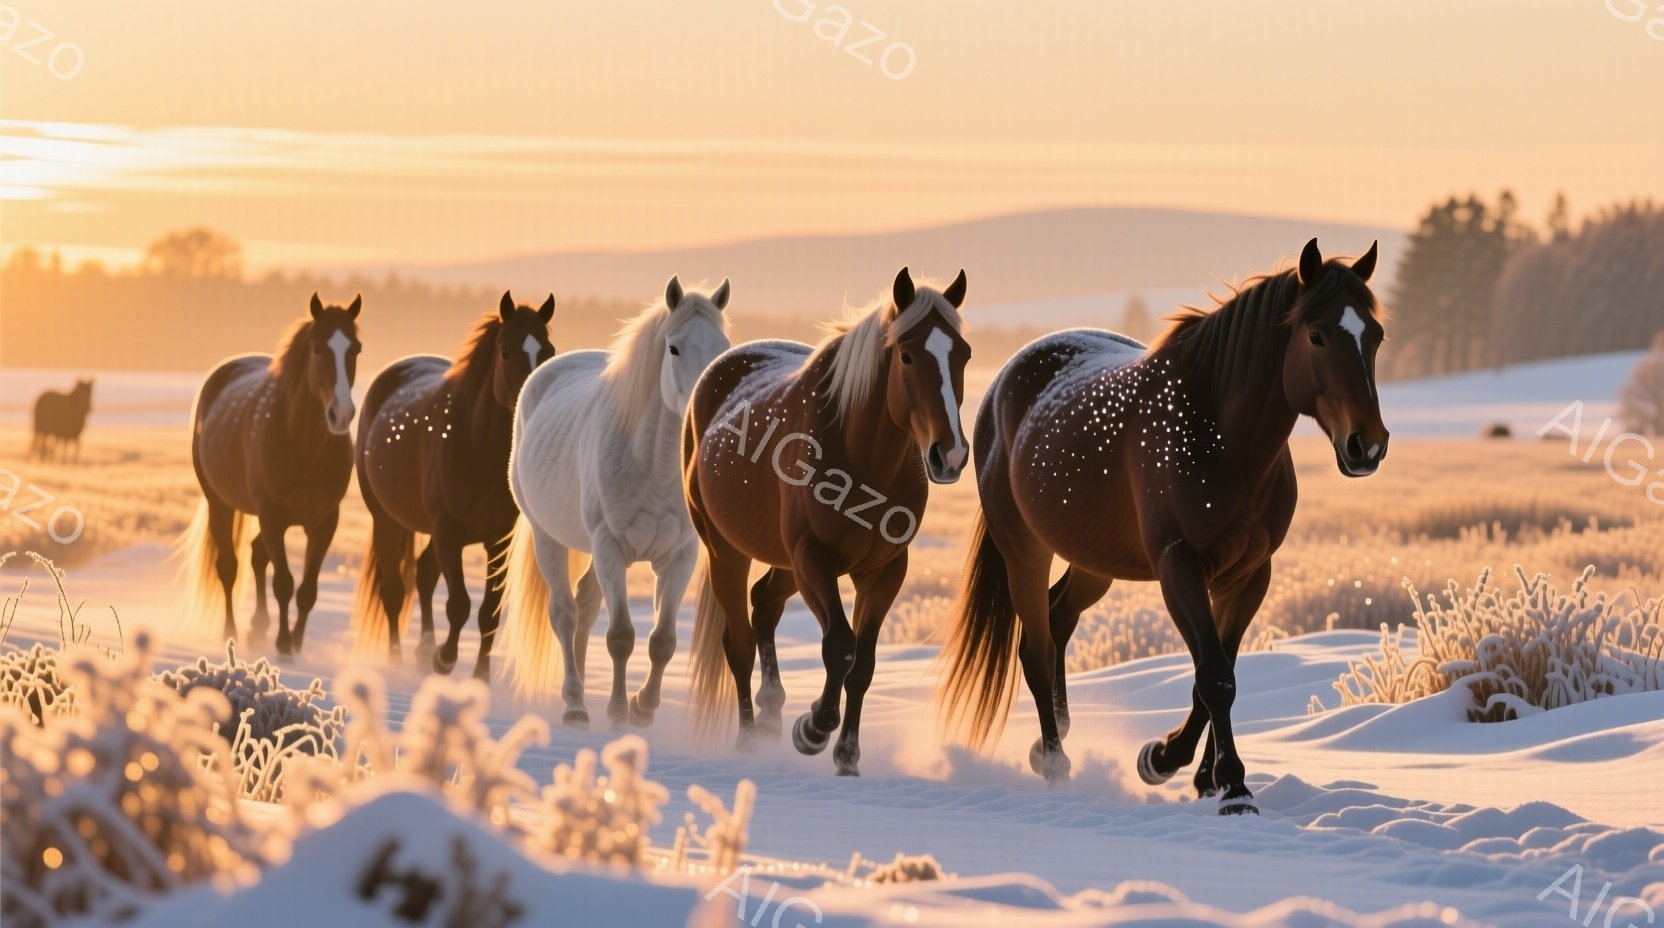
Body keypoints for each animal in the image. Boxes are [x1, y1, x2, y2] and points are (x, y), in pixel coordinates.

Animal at [180, 294, 362, 654]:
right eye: (317, 348)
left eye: (356, 349)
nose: (341, 414)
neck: (304, 444)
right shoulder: (273, 516)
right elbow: (284, 583)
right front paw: (283, 643)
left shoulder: (324, 522)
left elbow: (307, 590)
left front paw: (296, 643)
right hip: (220, 503)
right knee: (229, 567)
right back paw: (233, 631)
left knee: (256, 555)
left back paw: (259, 626)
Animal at [351, 291, 555, 679]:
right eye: (506, 352)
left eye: (548, 350)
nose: (534, 403)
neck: (475, 448)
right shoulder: (448, 532)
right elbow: (459, 604)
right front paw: (444, 659)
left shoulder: (496, 539)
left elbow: (489, 611)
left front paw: (480, 675)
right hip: (386, 520)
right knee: (394, 591)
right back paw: (398, 657)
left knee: (424, 573)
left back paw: (422, 649)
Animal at [498, 276, 732, 727]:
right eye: (674, 348)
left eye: (723, 347)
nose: (704, 407)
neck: (653, 467)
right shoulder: (610, 548)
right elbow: (621, 636)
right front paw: (619, 709)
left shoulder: (680, 556)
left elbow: (663, 640)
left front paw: (643, 707)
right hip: (548, 538)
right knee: (565, 613)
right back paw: (574, 703)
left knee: (585, 606)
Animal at [685, 267, 971, 776]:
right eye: (907, 355)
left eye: (964, 353)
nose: (950, 455)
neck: (860, 456)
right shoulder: (813, 558)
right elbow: (840, 646)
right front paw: (814, 728)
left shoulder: (884, 571)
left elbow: (864, 664)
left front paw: (847, 756)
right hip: (728, 552)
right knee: (738, 642)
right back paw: (749, 738)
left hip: (784, 562)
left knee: (764, 605)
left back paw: (771, 711)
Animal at [934, 239, 1387, 814]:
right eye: (1317, 335)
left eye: (1375, 335)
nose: (1367, 445)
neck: (1219, 438)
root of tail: (1003, 383)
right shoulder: (1180, 567)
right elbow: (1214, 677)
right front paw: (1223, 784)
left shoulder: (1249, 576)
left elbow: (1218, 671)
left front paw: (1196, 772)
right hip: (1024, 551)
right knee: (1035, 649)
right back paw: (1056, 763)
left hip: (1094, 562)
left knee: (1058, 621)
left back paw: (1051, 739)